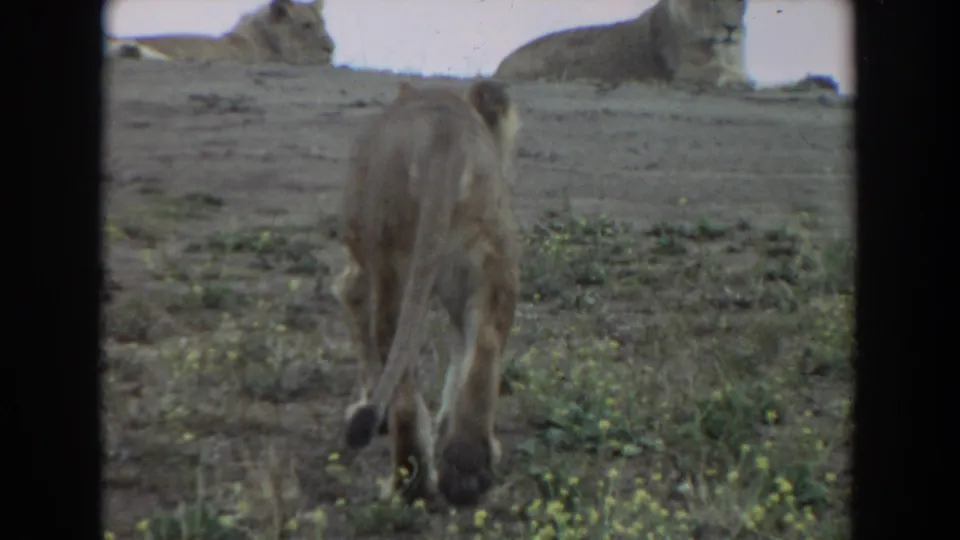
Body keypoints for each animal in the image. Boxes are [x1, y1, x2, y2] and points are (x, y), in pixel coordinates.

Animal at [331, 80, 522, 507]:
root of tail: (443, 138)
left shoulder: (358, 267)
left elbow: (353, 312)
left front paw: (368, 405)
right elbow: (459, 360)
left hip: (395, 269)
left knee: (400, 381)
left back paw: (407, 485)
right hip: (492, 263)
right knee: (483, 351)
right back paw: (468, 471)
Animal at [493, 0, 752, 90]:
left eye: (740, 0)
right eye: (711, 2)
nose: (731, 28)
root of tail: (499, 69)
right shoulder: (683, 70)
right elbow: (718, 70)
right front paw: (737, 79)